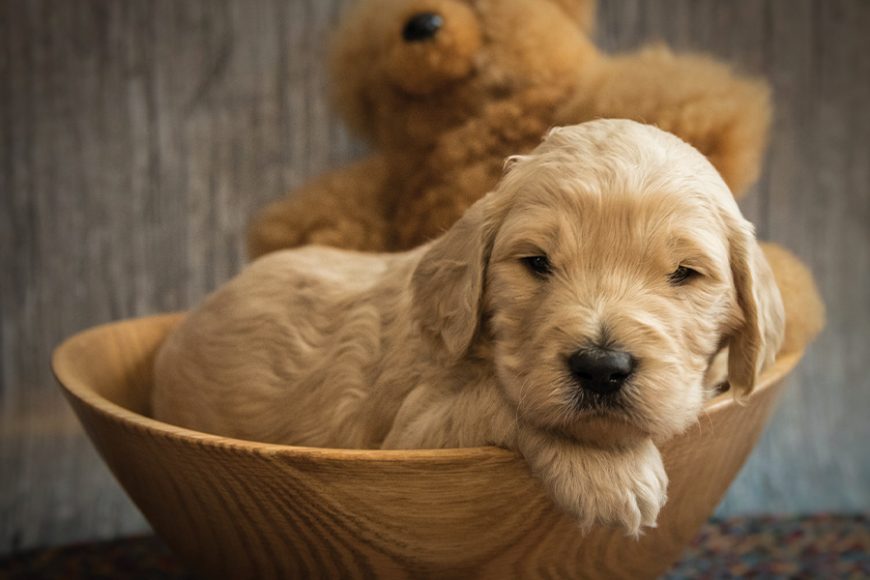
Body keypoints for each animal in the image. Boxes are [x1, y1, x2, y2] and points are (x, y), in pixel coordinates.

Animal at [153, 120, 788, 536]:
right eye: (536, 263)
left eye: (684, 273)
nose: (600, 368)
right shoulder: (410, 436)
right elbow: (501, 398)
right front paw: (609, 474)